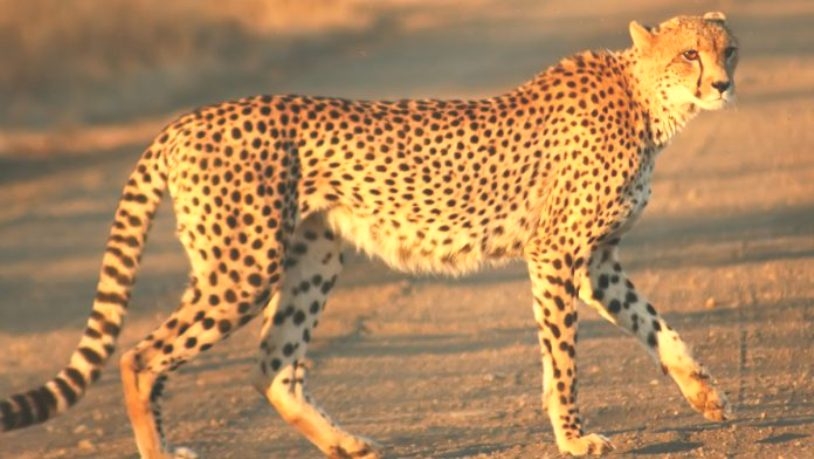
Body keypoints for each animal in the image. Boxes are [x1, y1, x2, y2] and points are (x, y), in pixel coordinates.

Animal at [1, 12, 738, 457]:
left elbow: (654, 324)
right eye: (689, 55)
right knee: (141, 356)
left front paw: (703, 392)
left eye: (727, 49)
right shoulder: (556, 254)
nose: (726, 84)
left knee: (274, 366)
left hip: (312, 257)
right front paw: (575, 437)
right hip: (244, 265)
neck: (647, 101)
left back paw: (344, 442)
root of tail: (187, 119)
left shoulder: (597, 261)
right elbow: (563, 359)